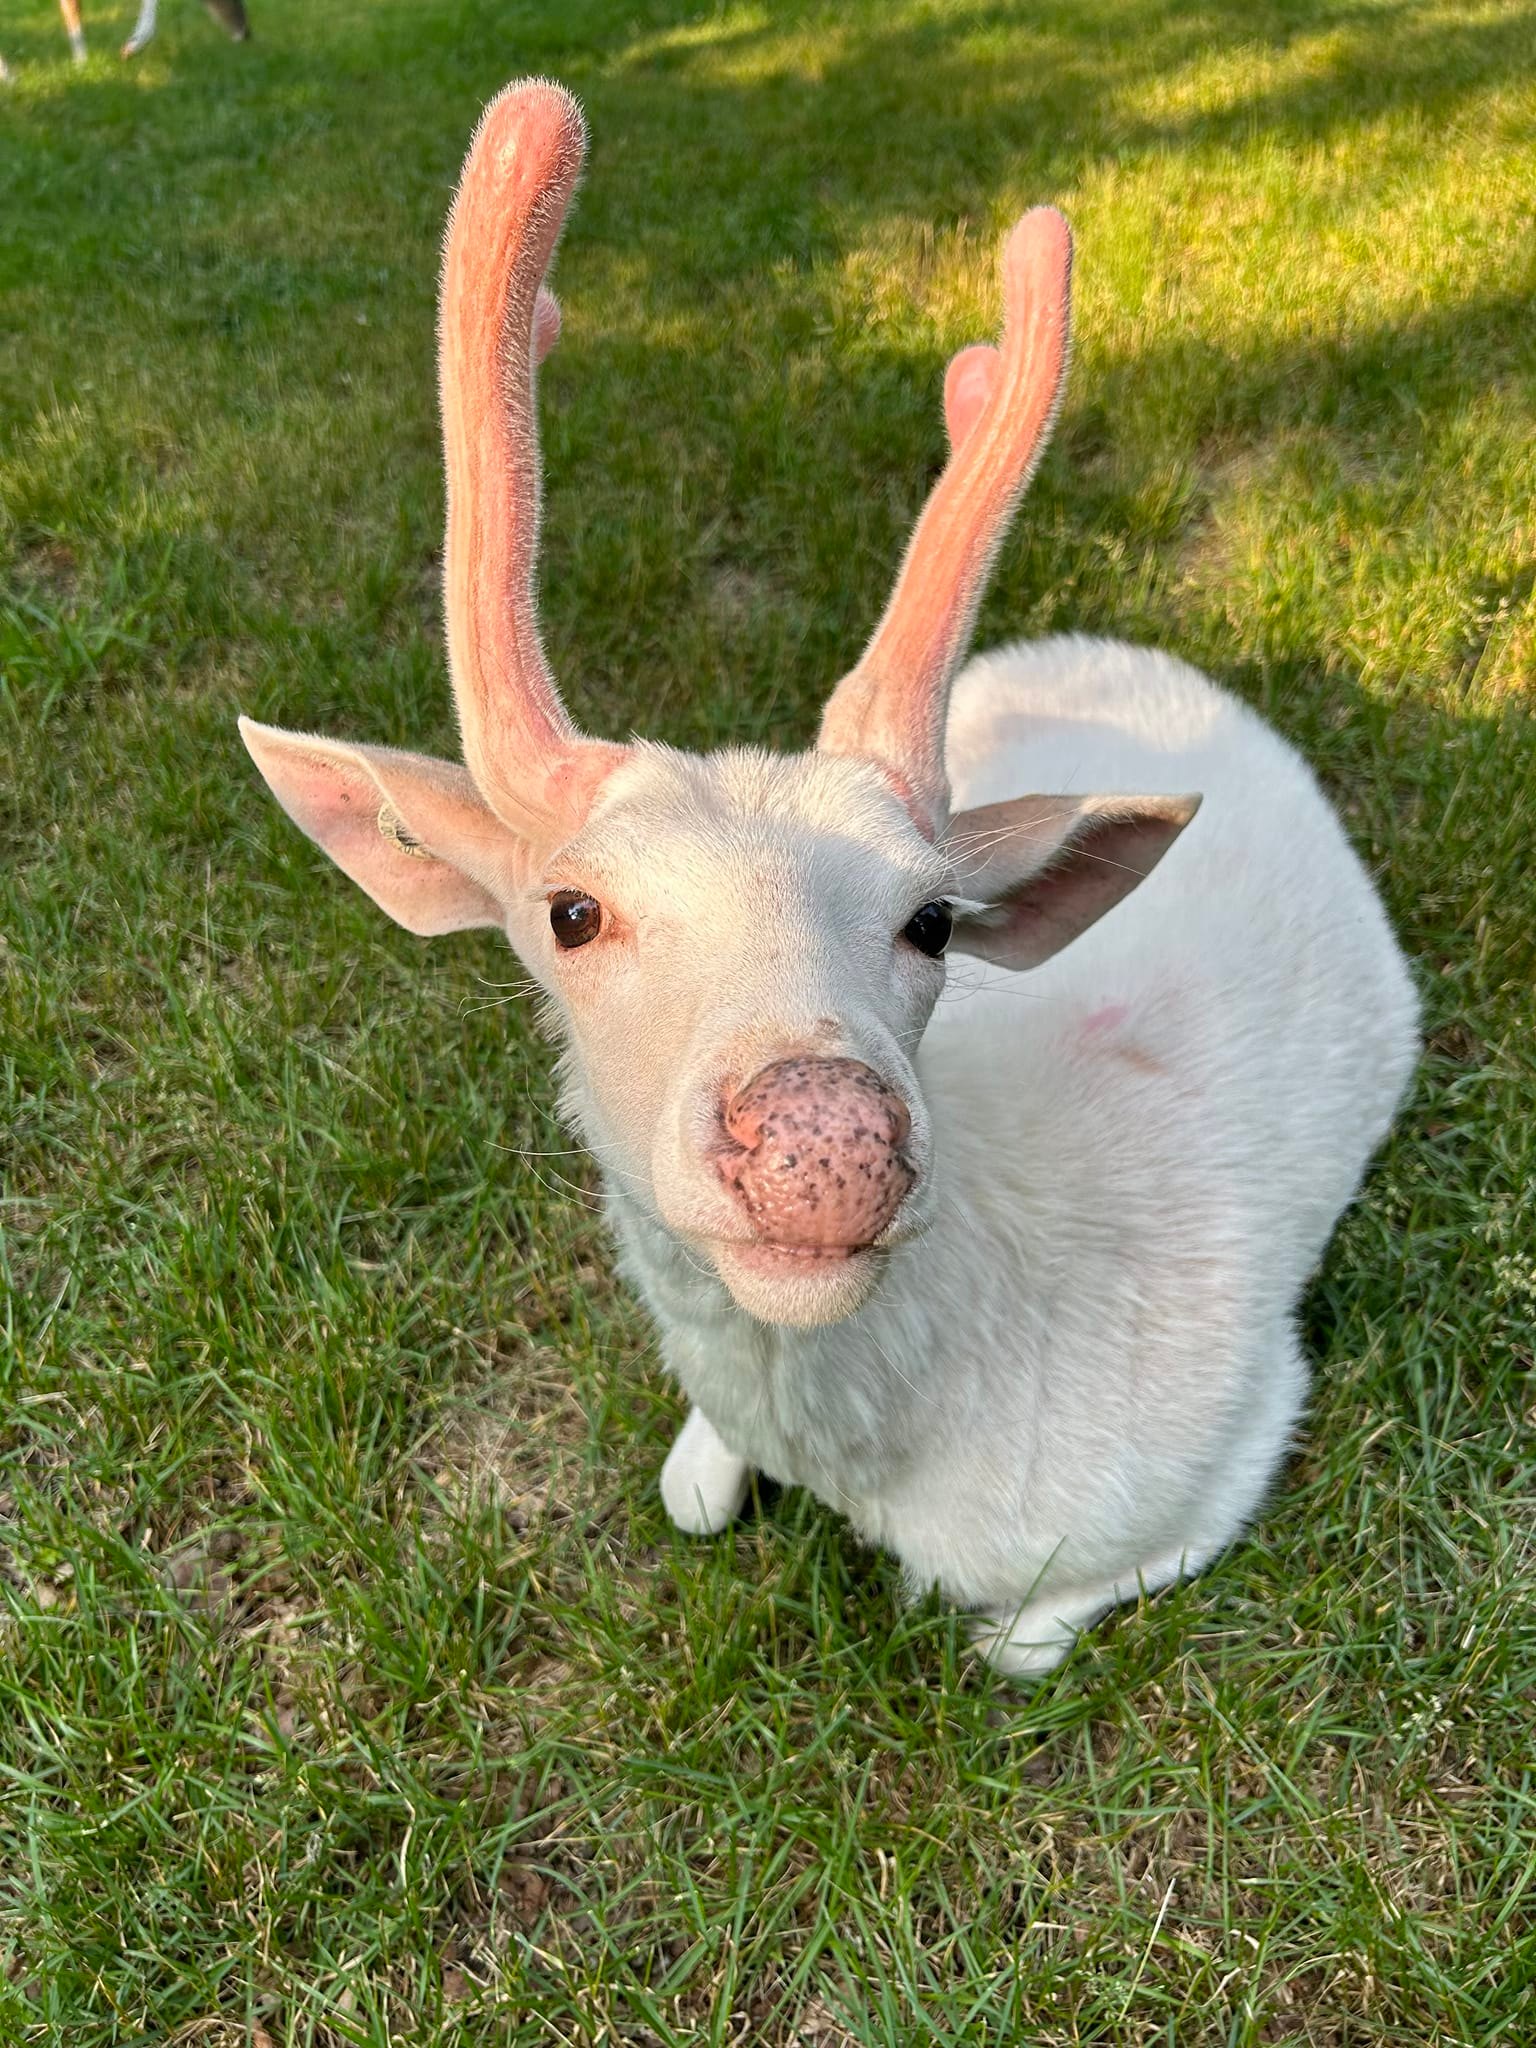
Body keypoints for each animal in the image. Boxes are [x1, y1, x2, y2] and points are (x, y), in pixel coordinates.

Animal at [239, 80, 1419, 1680]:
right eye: (570, 913)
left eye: (932, 920)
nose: (822, 1143)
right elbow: (685, 1493)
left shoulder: (1229, 1432)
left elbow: (1015, 1642)